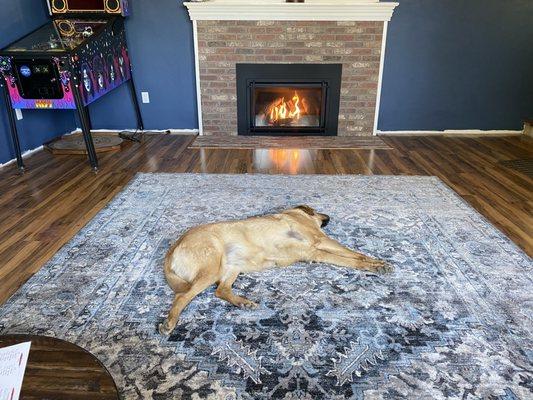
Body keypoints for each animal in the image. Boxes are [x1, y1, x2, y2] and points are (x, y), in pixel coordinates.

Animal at [158, 206, 390, 334]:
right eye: (317, 210)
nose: (329, 217)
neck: (296, 214)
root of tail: (172, 248)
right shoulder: (321, 242)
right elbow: (355, 255)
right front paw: (375, 264)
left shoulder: (315, 252)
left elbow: (350, 257)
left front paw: (373, 263)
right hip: (211, 266)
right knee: (182, 296)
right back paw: (169, 322)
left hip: (232, 268)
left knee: (220, 290)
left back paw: (242, 302)